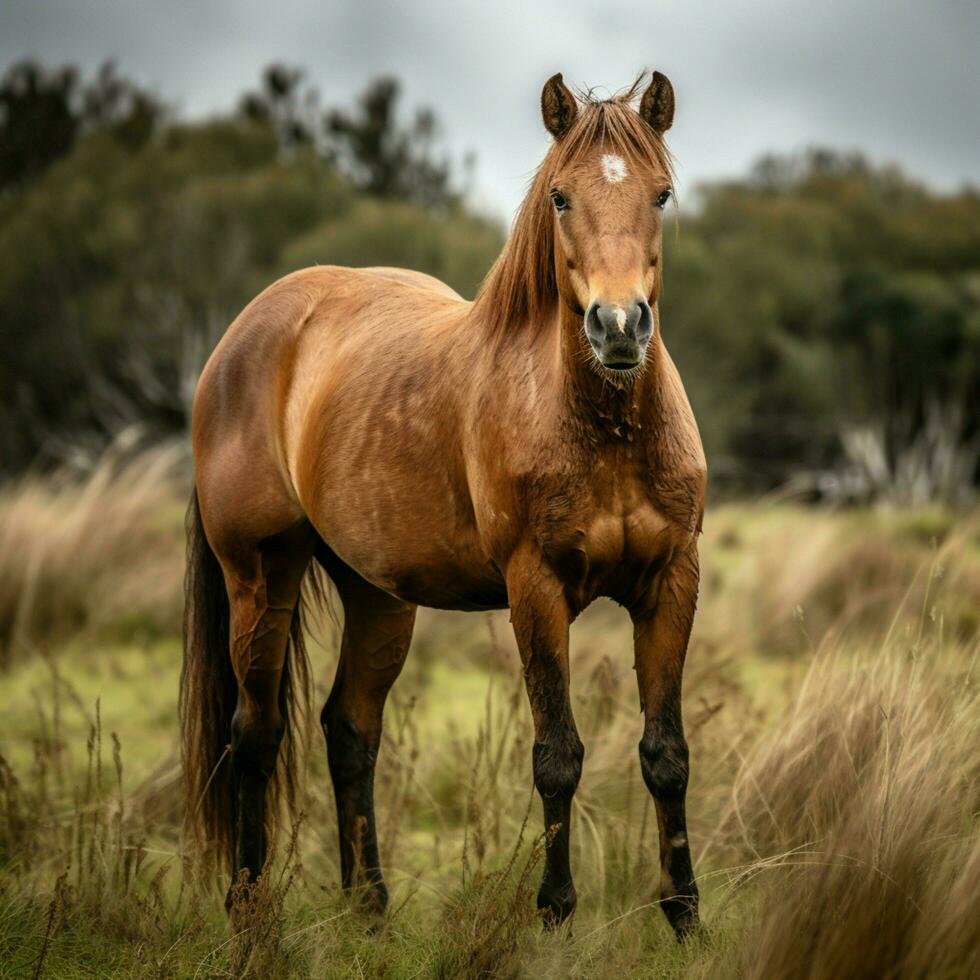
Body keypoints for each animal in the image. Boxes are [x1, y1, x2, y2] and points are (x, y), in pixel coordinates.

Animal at [182, 69, 704, 936]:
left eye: (661, 194)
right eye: (560, 197)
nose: (619, 326)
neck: (601, 427)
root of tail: (240, 338)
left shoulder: (671, 584)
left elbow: (667, 756)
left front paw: (687, 917)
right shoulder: (536, 589)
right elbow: (557, 756)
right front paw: (555, 913)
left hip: (378, 594)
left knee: (350, 730)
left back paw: (370, 910)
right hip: (260, 578)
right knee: (255, 735)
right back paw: (249, 910)